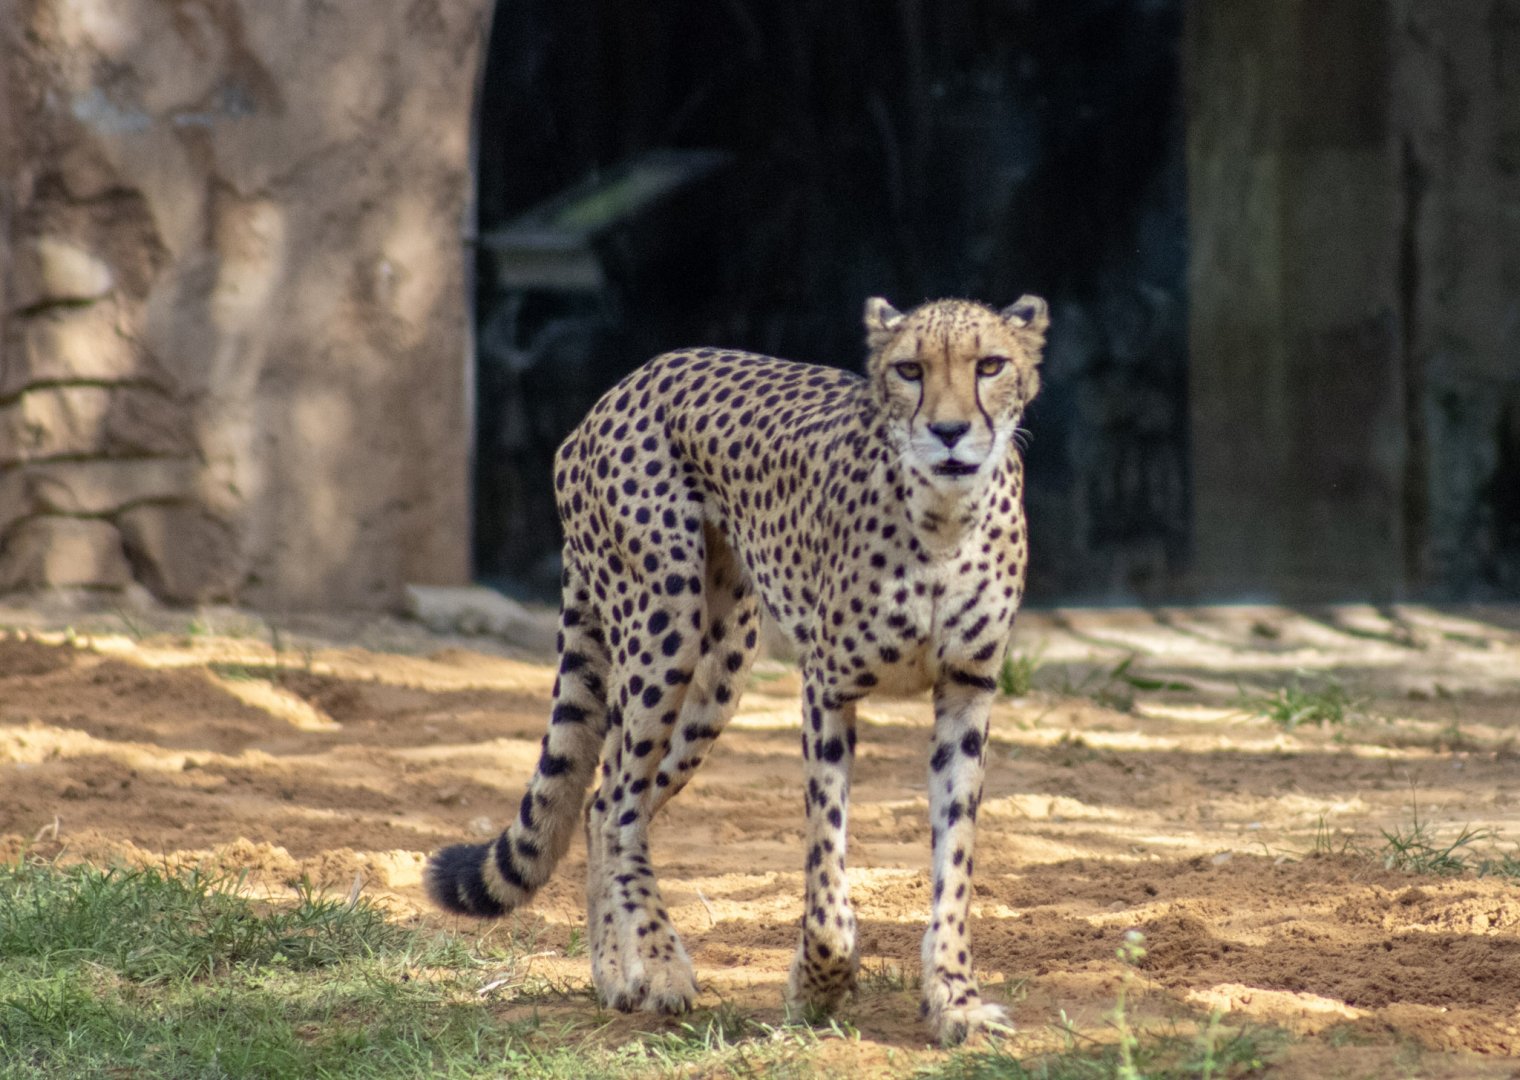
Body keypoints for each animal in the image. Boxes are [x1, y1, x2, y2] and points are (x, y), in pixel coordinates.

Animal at [427, 293, 1048, 1043]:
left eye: (990, 365)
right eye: (909, 369)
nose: (949, 432)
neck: (944, 522)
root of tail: (626, 386)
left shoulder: (966, 693)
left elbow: (954, 861)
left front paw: (955, 999)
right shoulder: (827, 689)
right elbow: (825, 859)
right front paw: (818, 985)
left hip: (720, 669)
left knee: (606, 802)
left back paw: (617, 972)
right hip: (663, 628)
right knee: (616, 801)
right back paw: (661, 967)